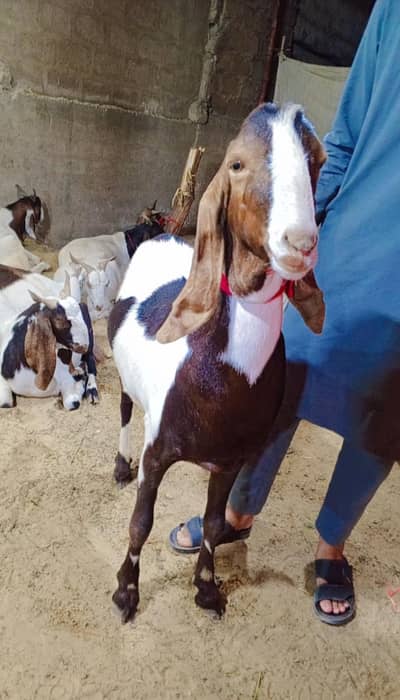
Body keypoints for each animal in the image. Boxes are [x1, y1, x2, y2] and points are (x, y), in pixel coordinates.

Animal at [0, 264, 98, 407]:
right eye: (60, 321)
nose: (83, 346)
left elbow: (72, 402)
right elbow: (5, 402)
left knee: (91, 360)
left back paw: (92, 390)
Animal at [107, 103, 326, 623]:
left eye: (318, 161)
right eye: (237, 164)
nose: (300, 243)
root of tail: (166, 233)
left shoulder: (231, 461)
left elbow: (212, 524)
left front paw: (207, 591)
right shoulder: (158, 450)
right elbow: (140, 523)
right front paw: (126, 593)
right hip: (125, 379)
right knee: (125, 408)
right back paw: (119, 466)